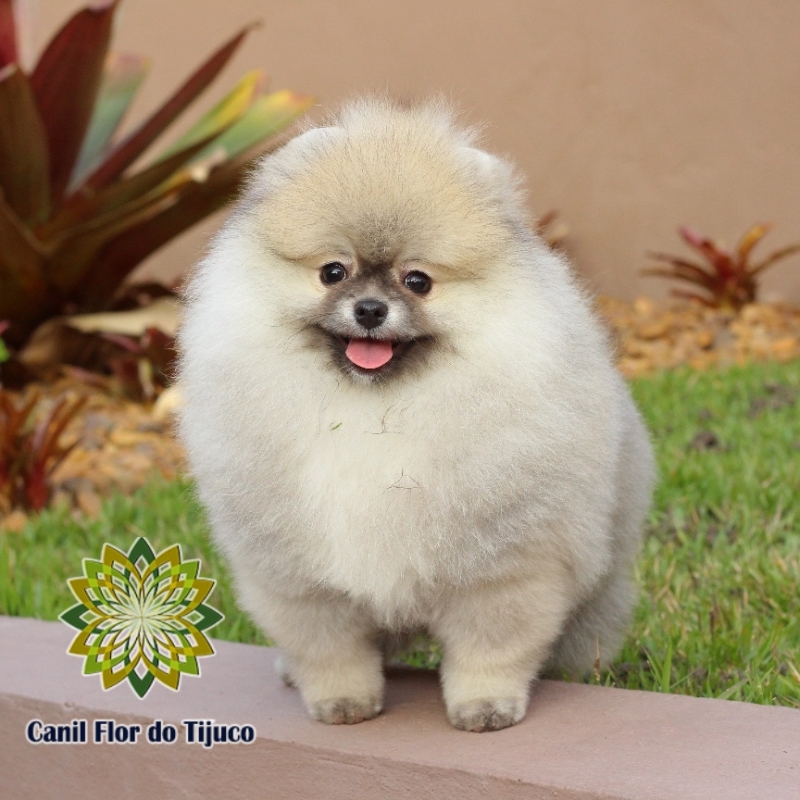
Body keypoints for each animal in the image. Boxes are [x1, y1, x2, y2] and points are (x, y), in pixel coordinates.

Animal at [177, 98, 656, 732]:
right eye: (333, 271)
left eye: (418, 281)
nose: (370, 309)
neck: (373, 411)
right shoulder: (298, 577)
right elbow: (329, 648)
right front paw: (342, 703)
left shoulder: (503, 566)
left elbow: (491, 646)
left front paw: (486, 706)